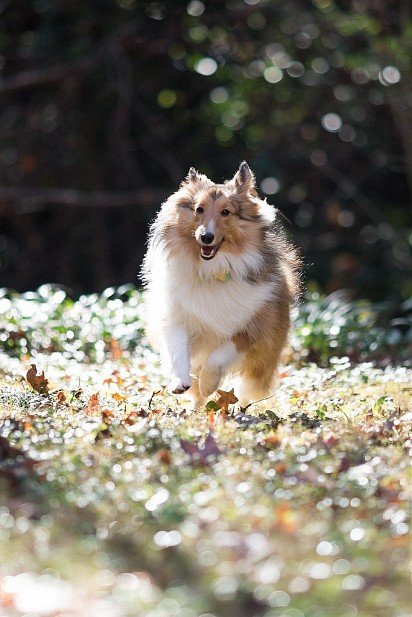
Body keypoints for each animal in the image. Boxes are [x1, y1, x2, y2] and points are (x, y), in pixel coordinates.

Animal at [142, 161, 300, 406]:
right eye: (199, 209)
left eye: (226, 212)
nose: (206, 237)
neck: (213, 271)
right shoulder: (176, 314)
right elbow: (178, 350)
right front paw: (180, 382)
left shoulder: (251, 327)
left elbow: (218, 356)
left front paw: (208, 383)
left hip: (263, 361)